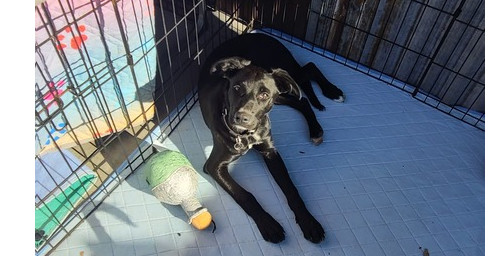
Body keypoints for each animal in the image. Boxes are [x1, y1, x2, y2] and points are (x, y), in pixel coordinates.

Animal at [197, 33, 344, 243]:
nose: (241, 118)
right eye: (236, 88)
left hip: (284, 78)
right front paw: (269, 225)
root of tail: (260, 33)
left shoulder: (270, 151)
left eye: (263, 94)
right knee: (303, 100)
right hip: (282, 93)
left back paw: (332, 94)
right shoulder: (214, 166)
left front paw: (309, 222)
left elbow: (291, 189)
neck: (247, 135)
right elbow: (245, 195)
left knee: (309, 69)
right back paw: (317, 126)